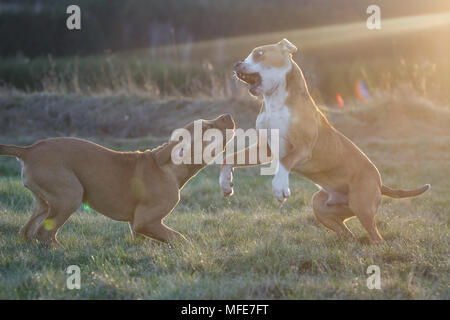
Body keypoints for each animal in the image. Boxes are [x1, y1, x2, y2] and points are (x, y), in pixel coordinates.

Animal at [0, 114, 236, 245]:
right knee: (44, 233)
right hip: (69, 196)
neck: (169, 165)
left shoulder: (136, 224)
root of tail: (29, 150)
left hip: (45, 203)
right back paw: (59, 249)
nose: (228, 115)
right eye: (206, 128)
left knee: (27, 231)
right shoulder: (145, 221)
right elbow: (177, 237)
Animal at [220, 38, 430, 242]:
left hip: (362, 205)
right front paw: (225, 183)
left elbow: (285, 162)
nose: (237, 64)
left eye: (259, 54)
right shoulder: (265, 149)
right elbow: (229, 158)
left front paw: (280, 187)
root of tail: (380, 183)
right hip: (321, 205)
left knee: (376, 237)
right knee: (348, 233)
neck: (275, 102)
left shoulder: (303, 148)